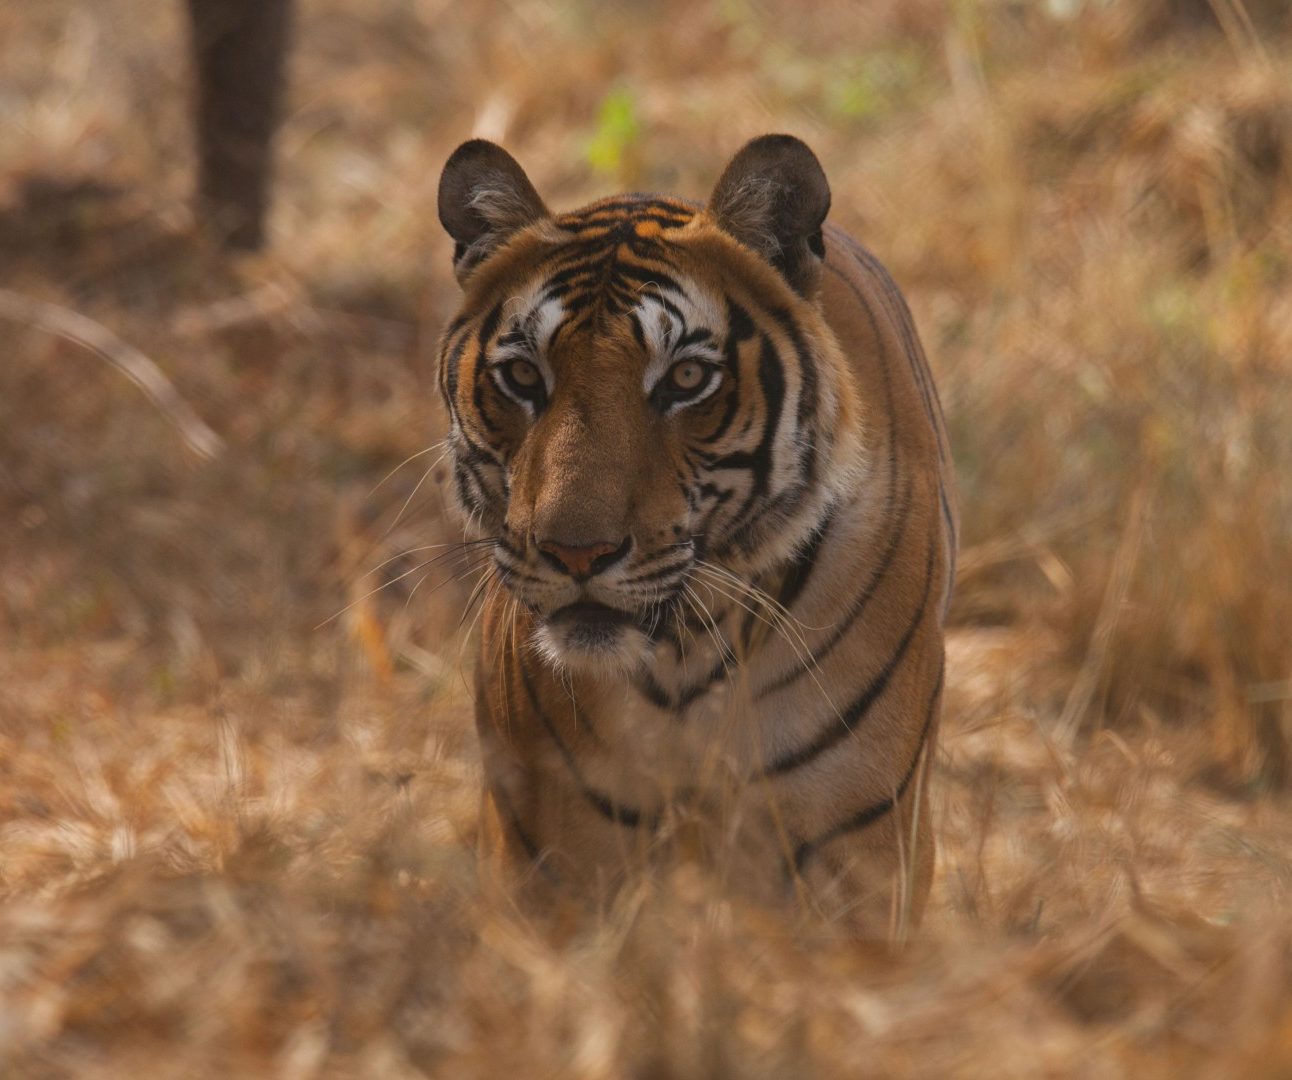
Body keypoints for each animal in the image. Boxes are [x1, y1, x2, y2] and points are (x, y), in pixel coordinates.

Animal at [439, 133, 956, 935]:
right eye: (523, 376)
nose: (576, 552)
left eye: (685, 380)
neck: (684, 655)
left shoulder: (858, 844)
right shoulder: (549, 855)